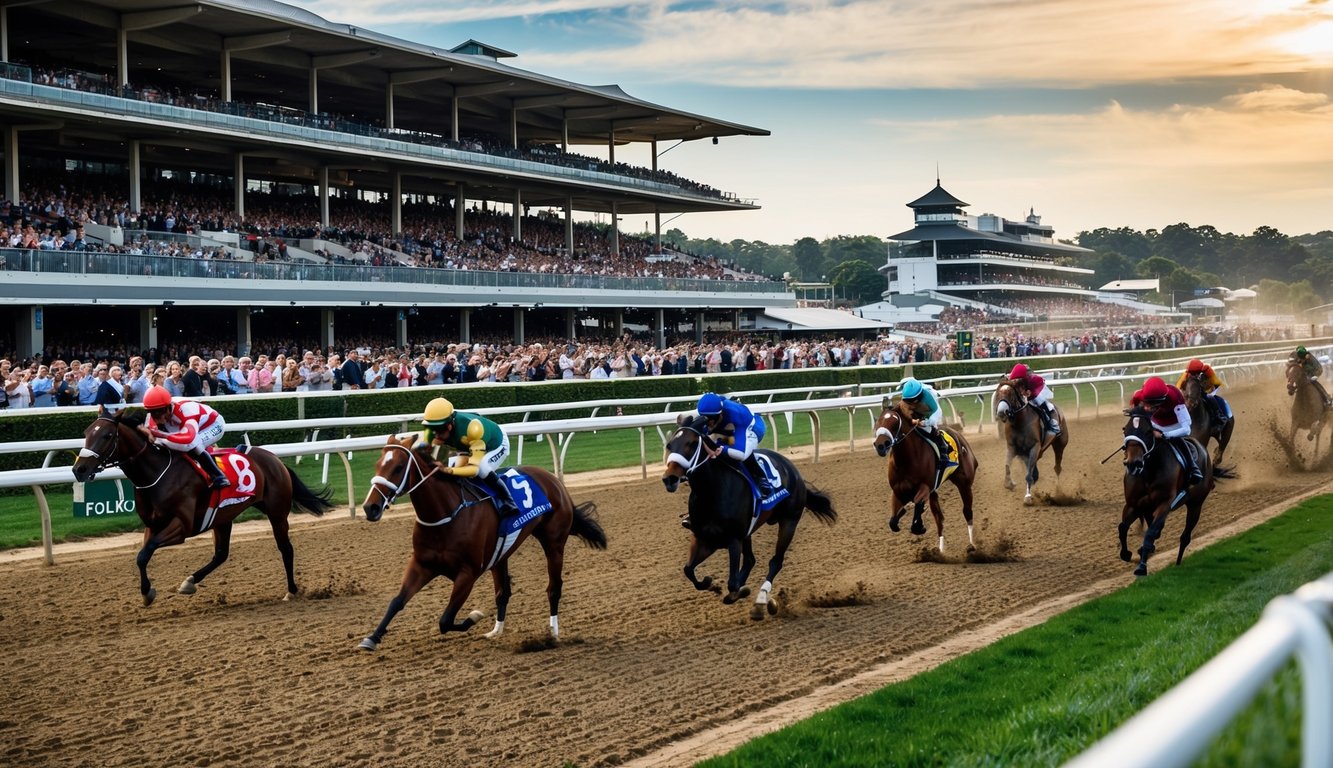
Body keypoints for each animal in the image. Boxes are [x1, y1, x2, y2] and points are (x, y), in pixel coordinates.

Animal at [70, 410, 335, 602]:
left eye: (106, 436)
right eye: (86, 432)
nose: (78, 469)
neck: (156, 474)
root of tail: (275, 459)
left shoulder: (182, 526)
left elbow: (147, 551)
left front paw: (148, 592)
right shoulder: (152, 525)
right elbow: (142, 556)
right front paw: (146, 593)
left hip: (277, 512)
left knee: (286, 549)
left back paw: (291, 590)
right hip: (223, 517)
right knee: (221, 554)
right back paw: (189, 581)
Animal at [354, 434, 605, 650]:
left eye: (397, 468)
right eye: (377, 465)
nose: (370, 507)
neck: (446, 514)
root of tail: (553, 479)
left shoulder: (468, 573)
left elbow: (445, 620)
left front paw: (474, 617)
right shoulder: (422, 565)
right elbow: (397, 601)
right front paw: (371, 638)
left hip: (554, 544)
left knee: (554, 588)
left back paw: (553, 633)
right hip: (501, 554)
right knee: (503, 592)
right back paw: (497, 630)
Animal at [663, 413, 837, 618]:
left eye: (690, 443)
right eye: (669, 445)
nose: (669, 479)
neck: (712, 492)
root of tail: (793, 469)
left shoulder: (733, 540)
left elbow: (732, 584)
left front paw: (741, 591)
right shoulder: (704, 539)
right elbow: (688, 570)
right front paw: (711, 584)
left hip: (789, 521)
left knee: (776, 561)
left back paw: (762, 599)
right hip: (748, 533)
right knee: (751, 560)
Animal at [874, 400, 981, 554]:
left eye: (894, 423)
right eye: (877, 422)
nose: (881, 445)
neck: (906, 460)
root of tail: (959, 435)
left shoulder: (925, 487)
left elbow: (917, 508)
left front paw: (918, 525)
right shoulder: (898, 491)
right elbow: (893, 521)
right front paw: (904, 513)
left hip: (964, 484)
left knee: (967, 512)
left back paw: (972, 545)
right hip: (934, 493)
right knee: (939, 518)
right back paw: (941, 550)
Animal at [1114, 408, 1226, 576]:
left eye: (1148, 432)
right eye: (1125, 430)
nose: (1133, 463)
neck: (1149, 472)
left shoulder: (1165, 504)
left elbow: (1150, 533)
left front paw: (1142, 567)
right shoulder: (1134, 504)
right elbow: (1122, 527)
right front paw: (1126, 554)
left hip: (1196, 504)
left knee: (1185, 536)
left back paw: (1178, 564)